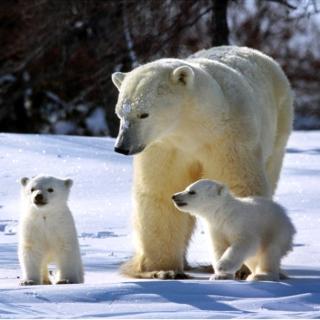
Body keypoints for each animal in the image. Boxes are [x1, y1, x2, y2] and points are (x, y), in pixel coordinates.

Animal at [111, 46, 294, 278]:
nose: (122, 147)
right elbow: (160, 192)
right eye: (120, 113)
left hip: (279, 126)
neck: (193, 128)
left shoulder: (228, 139)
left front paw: (242, 268)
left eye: (144, 114)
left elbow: (239, 184)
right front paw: (163, 270)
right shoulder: (165, 147)